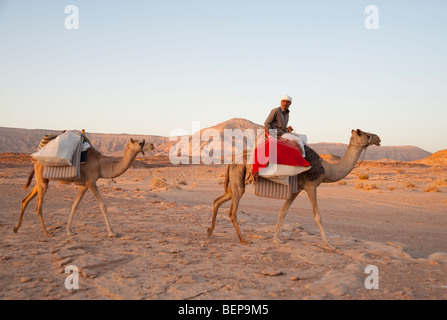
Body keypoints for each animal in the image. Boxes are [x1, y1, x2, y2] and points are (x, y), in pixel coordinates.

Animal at [14, 138, 154, 238]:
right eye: (140, 142)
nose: (152, 145)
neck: (101, 164)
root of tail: (35, 160)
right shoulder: (91, 182)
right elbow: (102, 206)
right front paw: (112, 232)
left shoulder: (85, 184)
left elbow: (75, 205)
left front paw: (69, 231)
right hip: (42, 180)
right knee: (38, 207)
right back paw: (47, 233)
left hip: (42, 180)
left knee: (25, 199)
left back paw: (16, 228)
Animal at [209, 129, 382, 249]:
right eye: (365, 133)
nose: (378, 138)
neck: (327, 169)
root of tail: (232, 161)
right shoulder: (311, 185)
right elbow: (317, 216)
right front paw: (329, 245)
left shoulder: (296, 190)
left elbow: (283, 211)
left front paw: (276, 239)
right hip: (238, 179)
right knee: (232, 211)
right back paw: (243, 239)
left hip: (234, 181)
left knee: (217, 200)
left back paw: (210, 231)